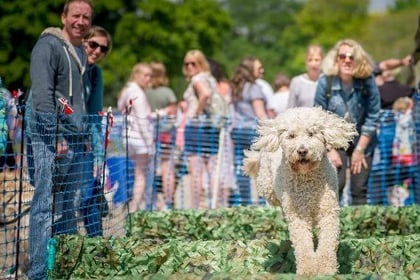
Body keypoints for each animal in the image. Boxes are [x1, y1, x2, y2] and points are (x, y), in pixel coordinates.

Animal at [243, 107, 358, 276]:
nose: (302, 150)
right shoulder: (299, 218)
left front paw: (326, 269)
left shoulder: (328, 212)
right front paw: (308, 270)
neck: (307, 181)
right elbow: (303, 245)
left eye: (311, 133)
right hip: (267, 187)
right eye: (291, 136)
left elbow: (328, 243)